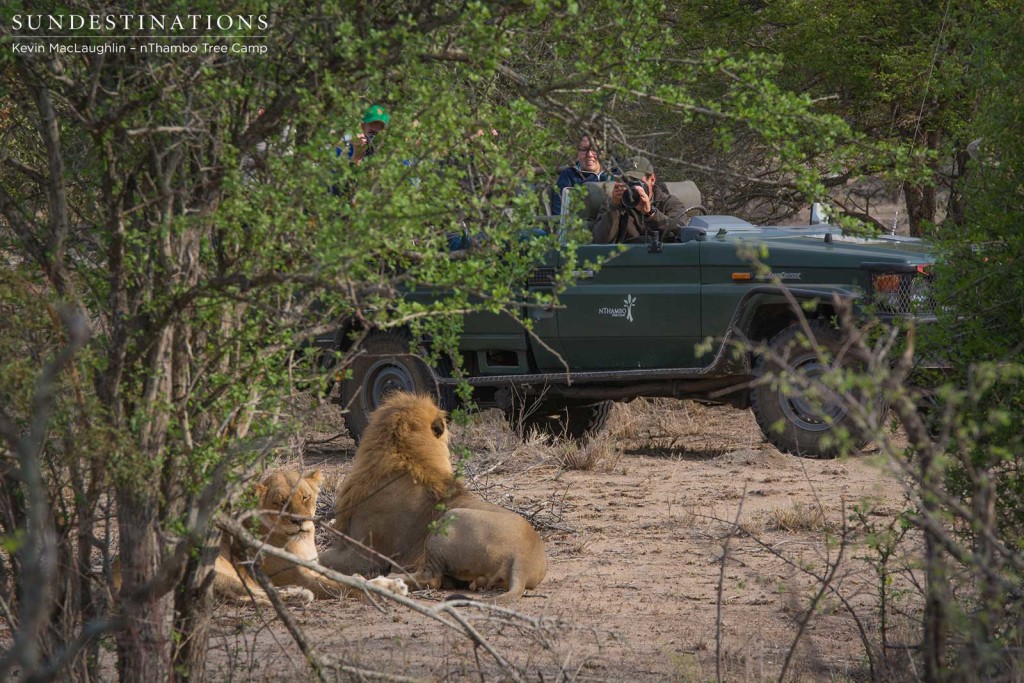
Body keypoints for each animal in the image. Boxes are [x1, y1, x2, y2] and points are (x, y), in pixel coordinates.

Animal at [319, 393, 548, 602]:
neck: (408, 455)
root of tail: (522, 558)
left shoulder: (363, 553)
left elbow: (321, 557)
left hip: (450, 519)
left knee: (432, 578)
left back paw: (389, 578)